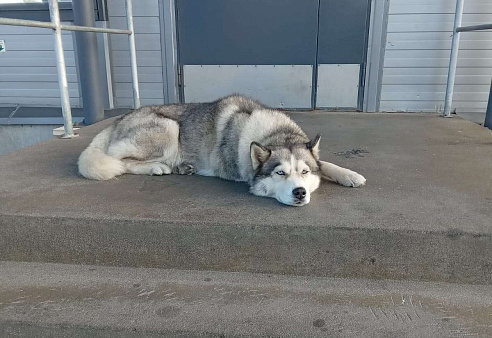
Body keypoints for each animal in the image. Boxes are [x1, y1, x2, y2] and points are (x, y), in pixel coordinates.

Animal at [79, 95, 366, 206]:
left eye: (305, 172)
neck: (274, 133)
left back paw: (182, 166)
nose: (300, 192)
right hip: (169, 128)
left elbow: (325, 164)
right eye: (280, 173)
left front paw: (349, 174)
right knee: (118, 160)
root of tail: (118, 119)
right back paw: (157, 167)